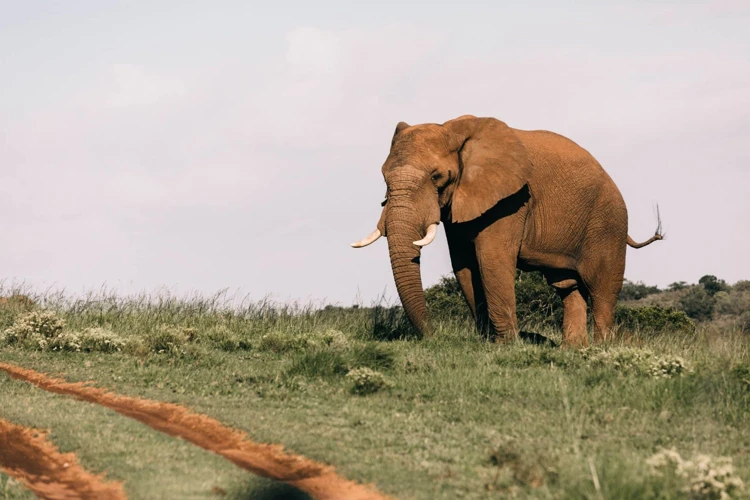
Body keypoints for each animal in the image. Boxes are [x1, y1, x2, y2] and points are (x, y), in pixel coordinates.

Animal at [352, 114, 664, 348]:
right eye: (384, 177)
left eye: (437, 177)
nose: (433, 336)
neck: (454, 130)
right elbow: (464, 264)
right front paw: (487, 342)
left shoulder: (511, 200)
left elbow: (492, 259)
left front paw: (506, 346)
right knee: (568, 287)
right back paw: (573, 350)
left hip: (608, 222)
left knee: (602, 288)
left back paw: (601, 349)